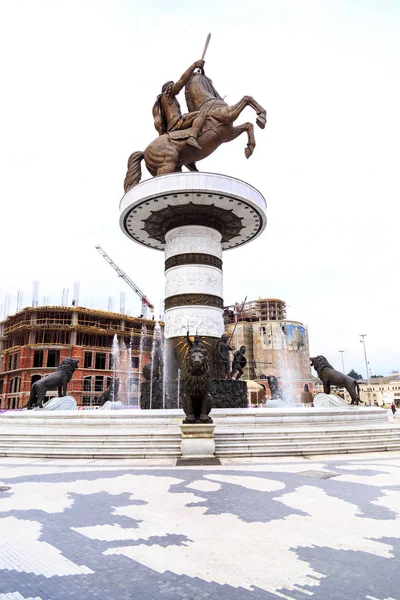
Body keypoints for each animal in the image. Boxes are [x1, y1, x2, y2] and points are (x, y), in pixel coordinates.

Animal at [122, 72, 266, 192]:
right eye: (210, 81)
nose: (220, 96)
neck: (207, 103)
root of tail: (144, 152)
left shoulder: (228, 134)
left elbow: (248, 125)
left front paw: (249, 148)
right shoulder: (229, 115)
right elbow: (247, 98)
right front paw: (262, 117)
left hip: (173, 168)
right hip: (166, 165)